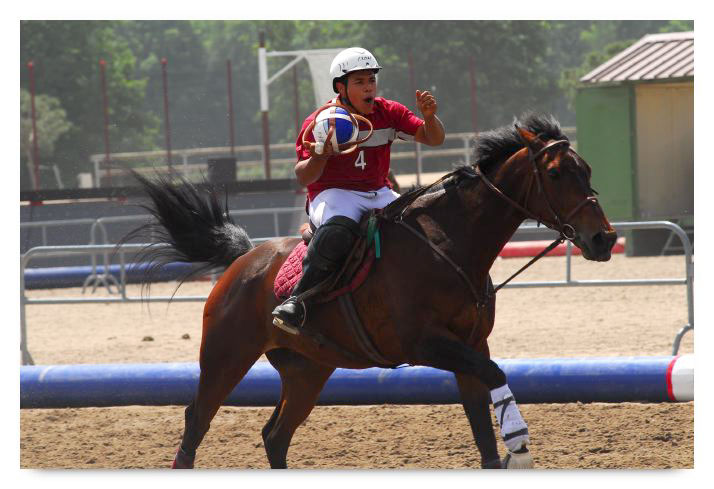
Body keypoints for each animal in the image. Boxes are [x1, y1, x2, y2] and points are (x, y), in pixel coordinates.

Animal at [126, 113, 617, 469]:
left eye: (587, 169)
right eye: (556, 174)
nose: (604, 239)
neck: (450, 244)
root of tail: (244, 259)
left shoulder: (471, 344)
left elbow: (482, 425)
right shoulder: (427, 343)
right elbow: (495, 377)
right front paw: (519, 440)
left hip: (308, 371)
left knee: (275, 436)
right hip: (226, 357)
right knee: (196, 424)